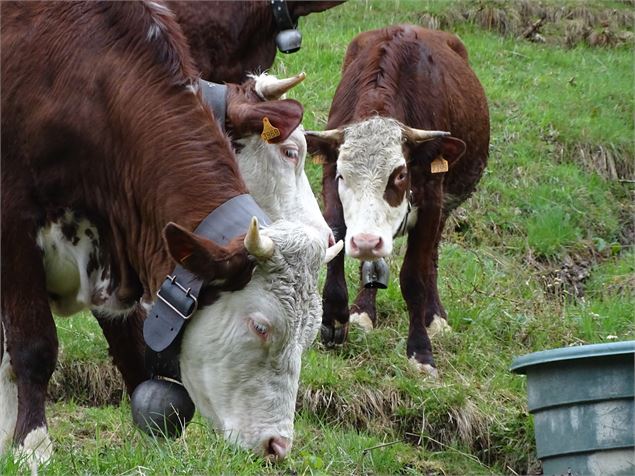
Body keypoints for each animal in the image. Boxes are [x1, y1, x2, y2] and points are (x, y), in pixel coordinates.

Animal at [306, 26, 492, 376]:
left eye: (401, 174)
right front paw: (334, 318)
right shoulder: (329, 183)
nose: (366, 241)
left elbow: (414, 276)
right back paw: (363, 311)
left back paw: (435, 317)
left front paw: (421, 352)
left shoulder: (432, 200)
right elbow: (336, 239)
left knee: (431, 257)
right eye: (342, 176)